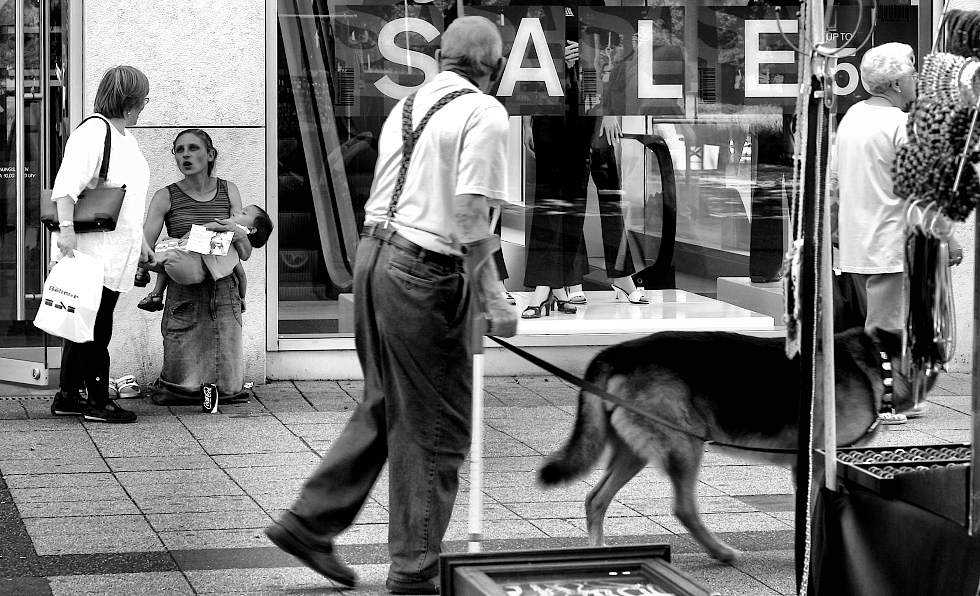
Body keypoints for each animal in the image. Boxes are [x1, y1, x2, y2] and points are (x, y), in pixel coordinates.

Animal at [540, 326, 924, 564]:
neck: (877, 362)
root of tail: (616, 352)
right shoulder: (814, 465)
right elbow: (810, 515)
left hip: (634, 451)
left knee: (596, 498)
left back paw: (598, 553)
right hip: (685, 445)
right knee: (684, 508)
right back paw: (721, 553)